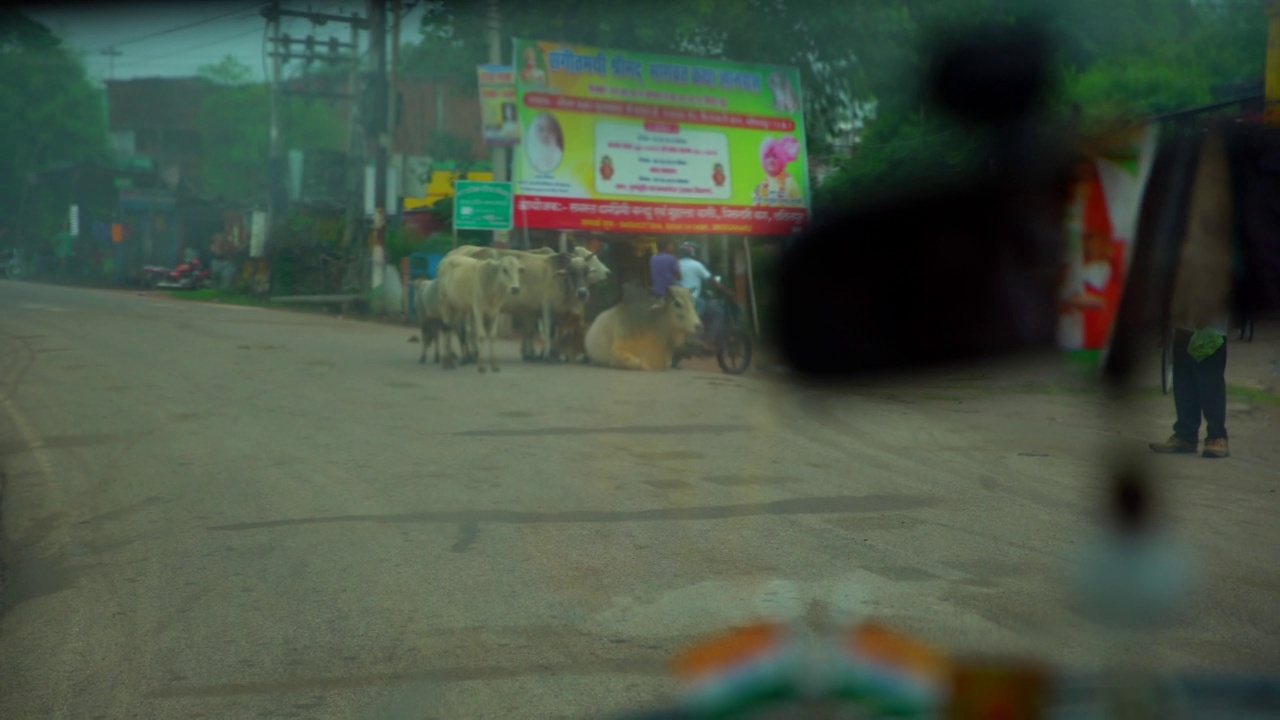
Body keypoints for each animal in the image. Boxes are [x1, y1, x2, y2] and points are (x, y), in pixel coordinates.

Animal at [448, 243, 591, 361]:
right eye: (572, 272)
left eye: (587, 272)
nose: (583, 292)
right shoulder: (547, 307)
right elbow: (548, 332)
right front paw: (547, 356)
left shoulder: (552, 312)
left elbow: (548, 332)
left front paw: (548, 355)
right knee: (465, 329)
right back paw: (469, 356)